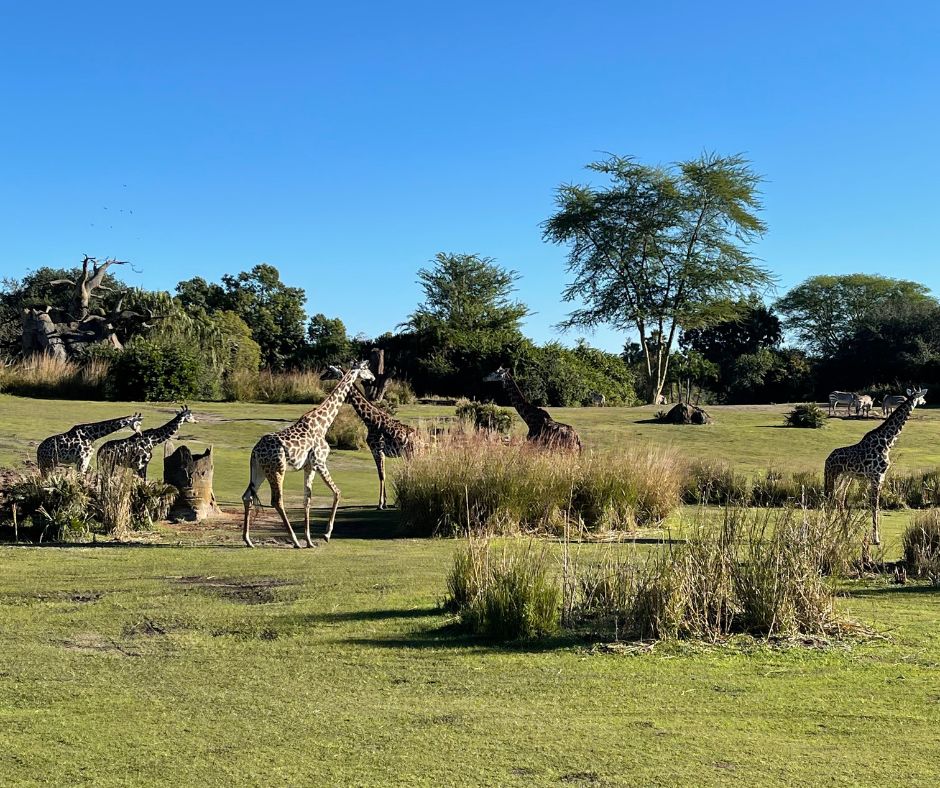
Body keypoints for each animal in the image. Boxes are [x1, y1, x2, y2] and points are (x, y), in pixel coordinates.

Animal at [241, 358, 376, 548]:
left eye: (329, 370)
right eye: (366, 368)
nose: (372, 378)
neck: (323, 423)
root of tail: (255, 451)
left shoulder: (309, 466)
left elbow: (307, 499)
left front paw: (310, 540)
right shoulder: (320, 462)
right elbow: (337, 492)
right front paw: (326, 534)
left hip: (259, 470)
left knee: (248, 496)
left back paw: (248, 540)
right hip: (277, 469)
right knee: (277, 500)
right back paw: (294, 540)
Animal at [324, 366, 424, 508]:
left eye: (330, 371)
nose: (321, 377)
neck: (370, 420)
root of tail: (422, 439)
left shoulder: (377, 449)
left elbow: (381, 475)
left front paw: (380, 504)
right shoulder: (378, 451)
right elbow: (382, 474)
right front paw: (385, 502)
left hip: (412, 453)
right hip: (409, 454)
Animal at [824, 386, 924, 544]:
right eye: (921, 396)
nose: (924, 401)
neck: (887, 441)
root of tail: (827, 459)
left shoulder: (880, 477)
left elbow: (876, 505)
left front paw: (875, 536)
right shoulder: (876, 476)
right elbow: (874, 506)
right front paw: (876, 538)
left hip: (846, 476)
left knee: (839, 499)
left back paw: (843, 533)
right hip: (833, 474)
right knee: (830, 497)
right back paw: (828, 532)